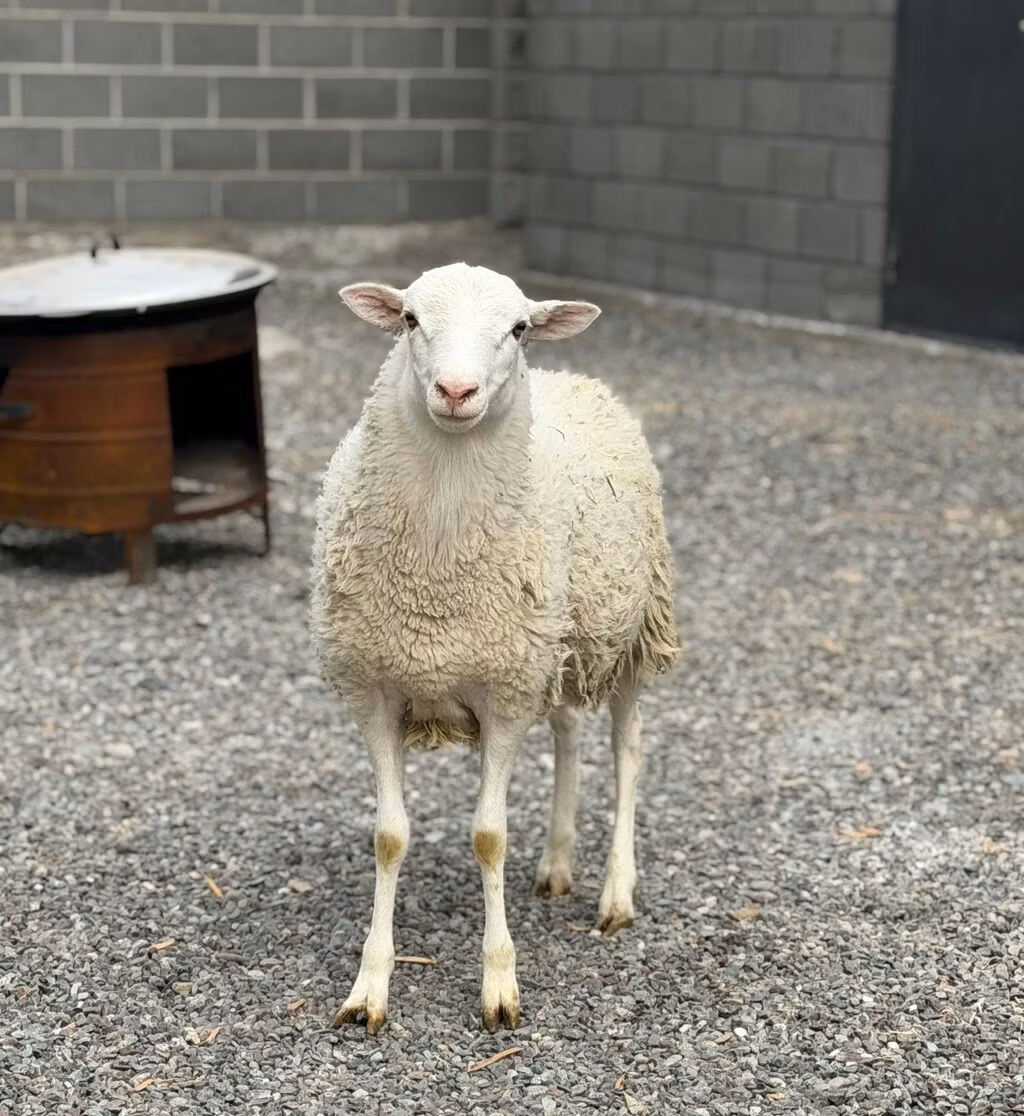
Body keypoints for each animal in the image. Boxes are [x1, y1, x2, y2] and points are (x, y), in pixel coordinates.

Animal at [310, 262, 678, 1034]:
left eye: (518, 329)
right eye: (410, 320)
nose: (456, 392)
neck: (436, 575)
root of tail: (578, 376)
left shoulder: (504, 697)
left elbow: (488, 837)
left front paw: (499, 986)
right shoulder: (375, 688)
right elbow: (389, 835)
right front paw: (370, 986)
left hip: (632, 633)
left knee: (626, 749)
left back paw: (615, 894)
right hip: (557, 645)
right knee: (568, 732)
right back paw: (557, 864)